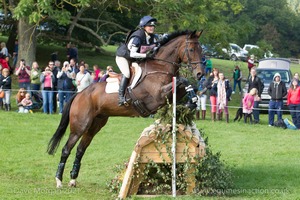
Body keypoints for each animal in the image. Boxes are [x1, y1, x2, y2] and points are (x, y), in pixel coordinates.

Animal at [47, 29, 205, 188]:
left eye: (201, 50)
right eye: (191, 50)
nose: (200, 74)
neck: (160, 67)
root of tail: (79, 94)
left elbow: (187, 85)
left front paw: (192, 102)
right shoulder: (158, 95)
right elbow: (183, 80)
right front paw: (191, 100)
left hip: (95, 125)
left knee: (80, 149)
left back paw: (73, 179)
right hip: (80, 126)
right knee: (66, 149)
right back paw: (59, 180)